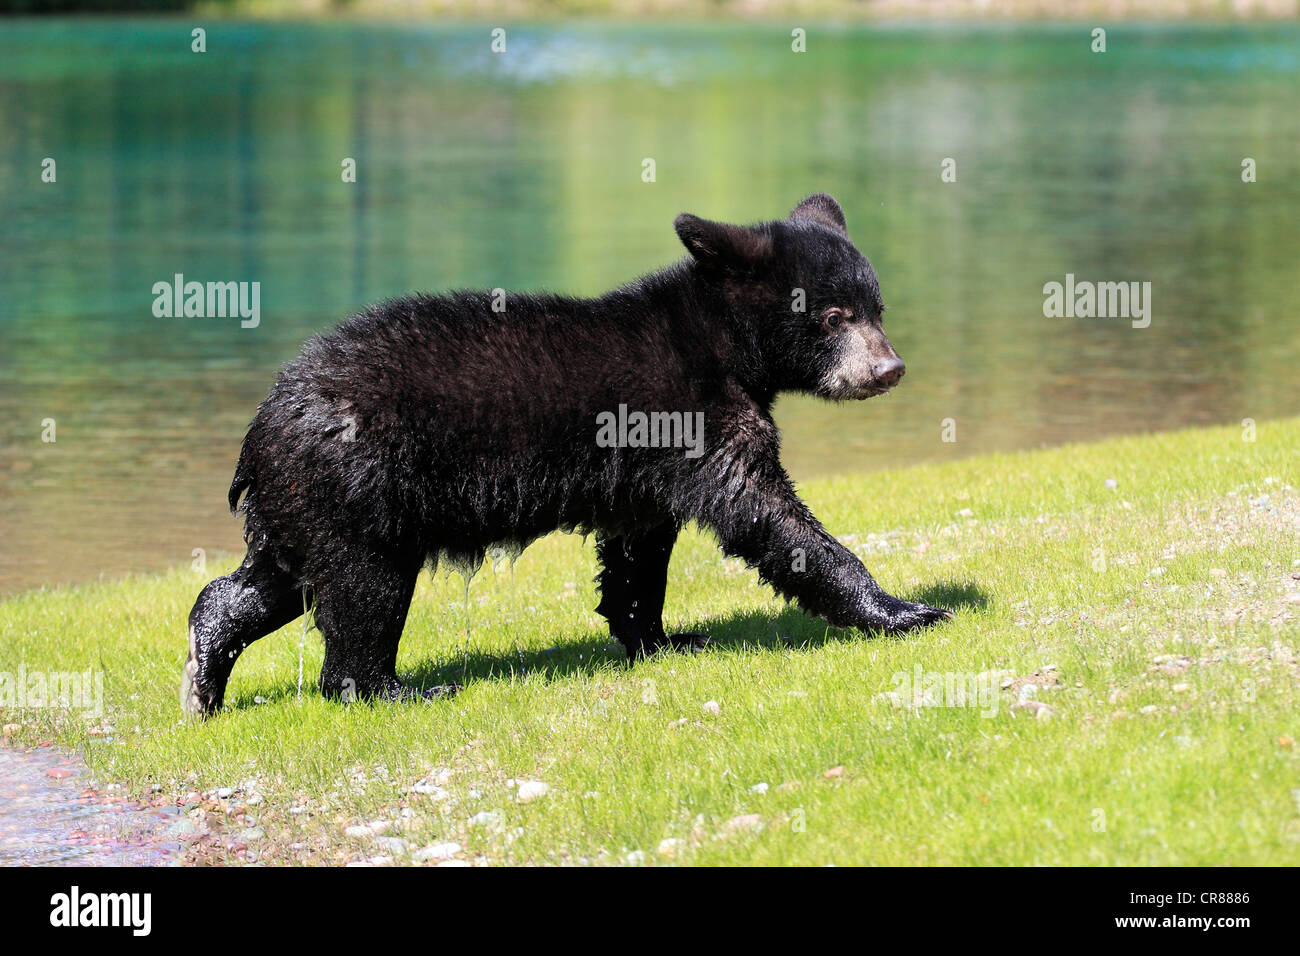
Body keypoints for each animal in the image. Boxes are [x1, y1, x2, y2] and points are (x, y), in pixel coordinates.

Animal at [181, 193, 951, 717]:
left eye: (877, 308)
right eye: (833, 316)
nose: (888, 369)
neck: (719, 340)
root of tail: (263, 422)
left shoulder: (649, 469)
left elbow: (641, 552)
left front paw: (658, 639)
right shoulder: (694, 415)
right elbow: (766, 515)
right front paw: (903, 610)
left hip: (304, 503)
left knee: (272, 581)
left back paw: (202, 672)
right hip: (360, 487)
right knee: (363, 590)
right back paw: (392, 688)